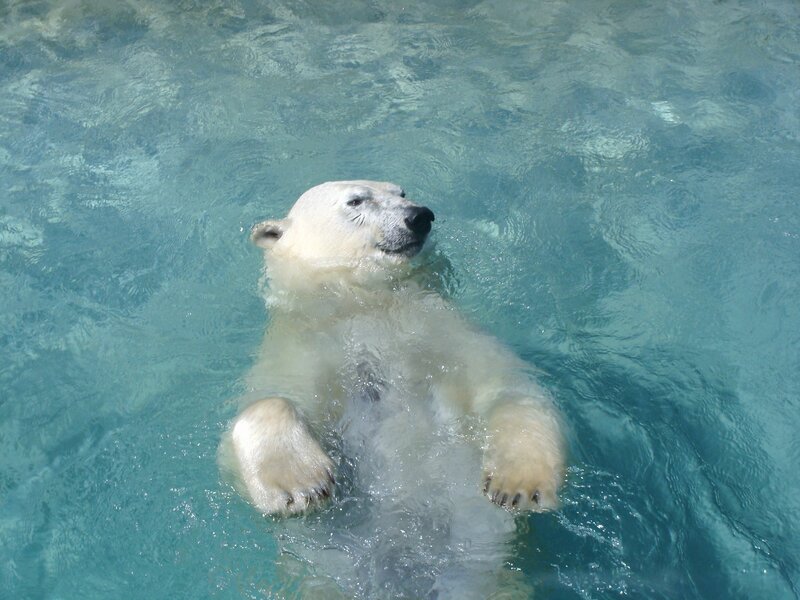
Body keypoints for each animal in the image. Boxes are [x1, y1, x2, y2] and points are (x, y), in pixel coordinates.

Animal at [219, 180, 566, 521]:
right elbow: (266, 401)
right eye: (356, 201)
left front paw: (517, 485)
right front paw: (303, 485)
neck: (365, 302)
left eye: (402, 192)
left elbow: (510, 388)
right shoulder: (299, 348)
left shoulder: (444, 332)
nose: (419, 216)